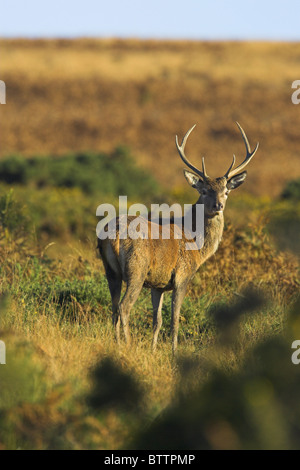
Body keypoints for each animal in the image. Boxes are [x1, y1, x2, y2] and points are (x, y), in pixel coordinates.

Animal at [98, 121, 258, 352]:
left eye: (226, 191)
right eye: (204, 191)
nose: (218, 205)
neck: (197, 245)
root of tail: (115, 232)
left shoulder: (158, 284)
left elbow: (157, 320)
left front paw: (153, 350)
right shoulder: (183, 275)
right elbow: (175, 318)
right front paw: (174, 351)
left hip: (111, 271)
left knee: (113, 307)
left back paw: (117, 343)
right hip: (137, 268)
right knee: (124, 307)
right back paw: (127, 345)